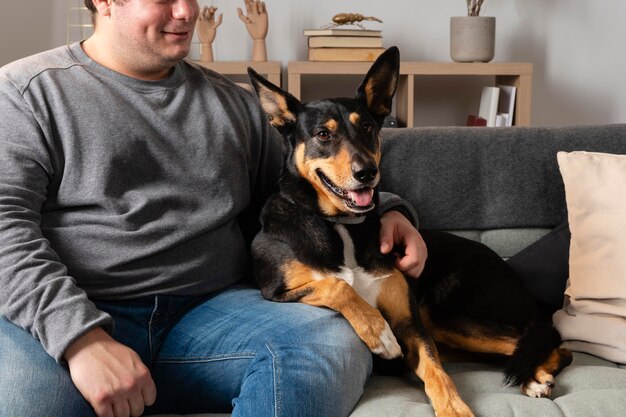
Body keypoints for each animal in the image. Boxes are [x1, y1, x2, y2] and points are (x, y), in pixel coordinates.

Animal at [246, 46, 568, 416]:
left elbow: (437, 372)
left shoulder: (411, 323)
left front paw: (454, 408)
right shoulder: (274, 290)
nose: (367, 173)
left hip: (443, 315)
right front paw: (379, 333)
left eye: (368, 127)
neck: (342, 226)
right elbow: (337, 286)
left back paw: (535, 377)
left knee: (547, 341)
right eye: (323, 134)